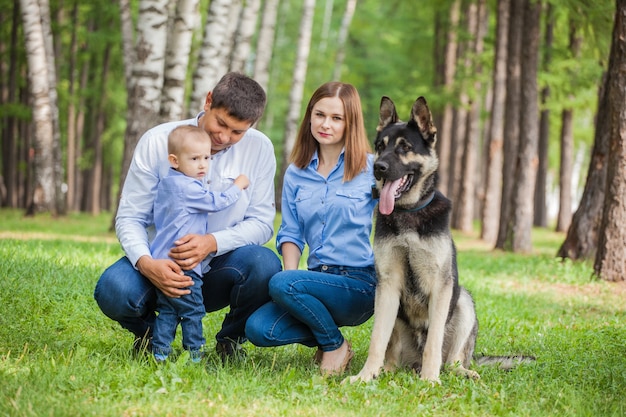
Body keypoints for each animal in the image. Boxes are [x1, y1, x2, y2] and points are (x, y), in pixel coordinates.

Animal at [346, 96, 528, 382]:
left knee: (451, 359)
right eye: (380, 147)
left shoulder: (441, 286)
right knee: (391, 353)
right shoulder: (387, 284)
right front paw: (364, 377)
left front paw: (430, 380)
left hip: (463, 301)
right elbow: (377, 340)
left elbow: (434, 341)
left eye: (405, 147)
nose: (378, 168)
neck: (409, 213)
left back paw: (461, 371)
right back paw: (385, 370)